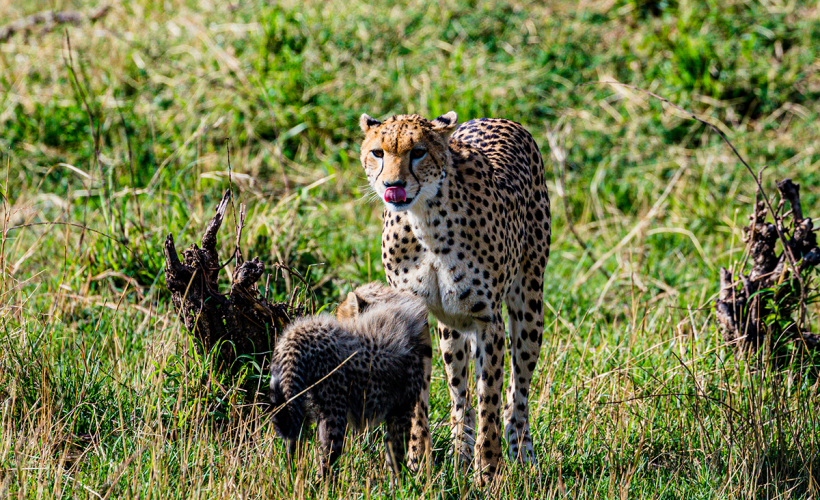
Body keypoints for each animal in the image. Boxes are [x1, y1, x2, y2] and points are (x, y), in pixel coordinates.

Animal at [269, 282, 432, 478]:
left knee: (292, 445)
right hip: (334, 414)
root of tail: (300, 333)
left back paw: (292, 478)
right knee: (326, 463)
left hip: (296, 404)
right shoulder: (401, 410)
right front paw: (400, 483)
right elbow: (396, 456)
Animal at [358, 111, 551, 485]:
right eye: (378, 152)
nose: (392, 185)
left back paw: (522, 456)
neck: (425, 222)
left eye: (418, 152)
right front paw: (418, 467)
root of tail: (497, 117)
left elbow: (490, 399)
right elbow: (420, 401)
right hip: (451, 329)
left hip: (529, 306)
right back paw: (459, 455)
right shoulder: (415, 315)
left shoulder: (488, 321)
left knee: (518, 393)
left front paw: (488, 473)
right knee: (460, 395)